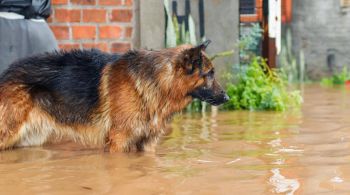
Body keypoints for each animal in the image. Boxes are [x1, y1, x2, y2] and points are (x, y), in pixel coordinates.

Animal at [0, 41, 228, 152]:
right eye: (209, 74)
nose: (226, 98)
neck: (157, 80)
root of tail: (7, 71)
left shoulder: (147, 144)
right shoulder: (119, 141)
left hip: (28, 139)